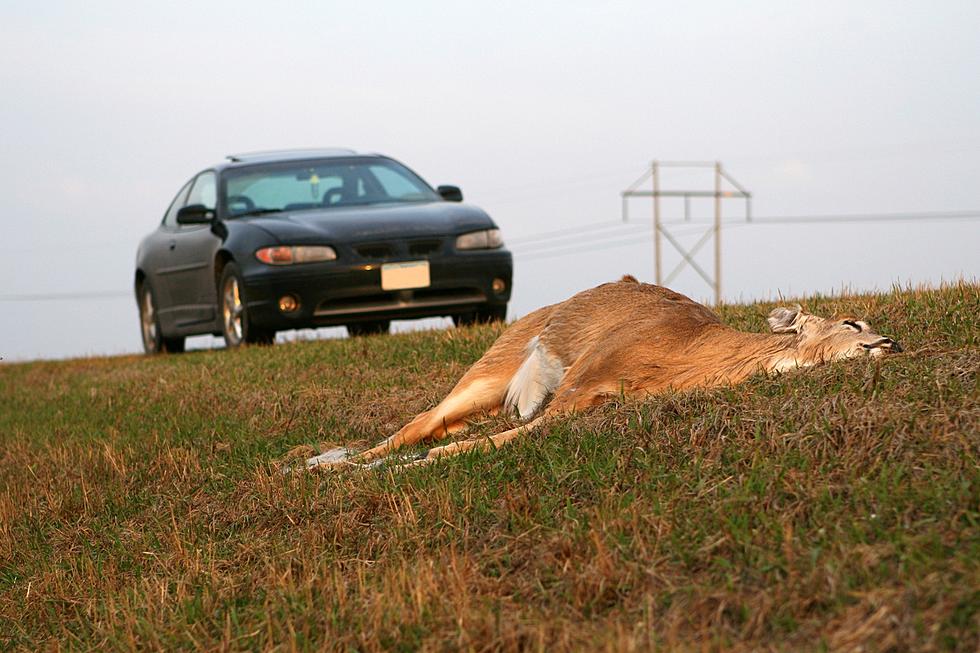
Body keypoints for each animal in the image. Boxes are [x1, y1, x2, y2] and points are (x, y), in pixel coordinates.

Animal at [306, 274, 904, 468]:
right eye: (852, 321)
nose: (891, 343)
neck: (684, 356)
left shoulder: (592, 399)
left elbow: (500, 438)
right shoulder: (582, 381)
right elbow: (492, 441)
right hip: (493, 363)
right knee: (419, 422)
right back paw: (326, 466)